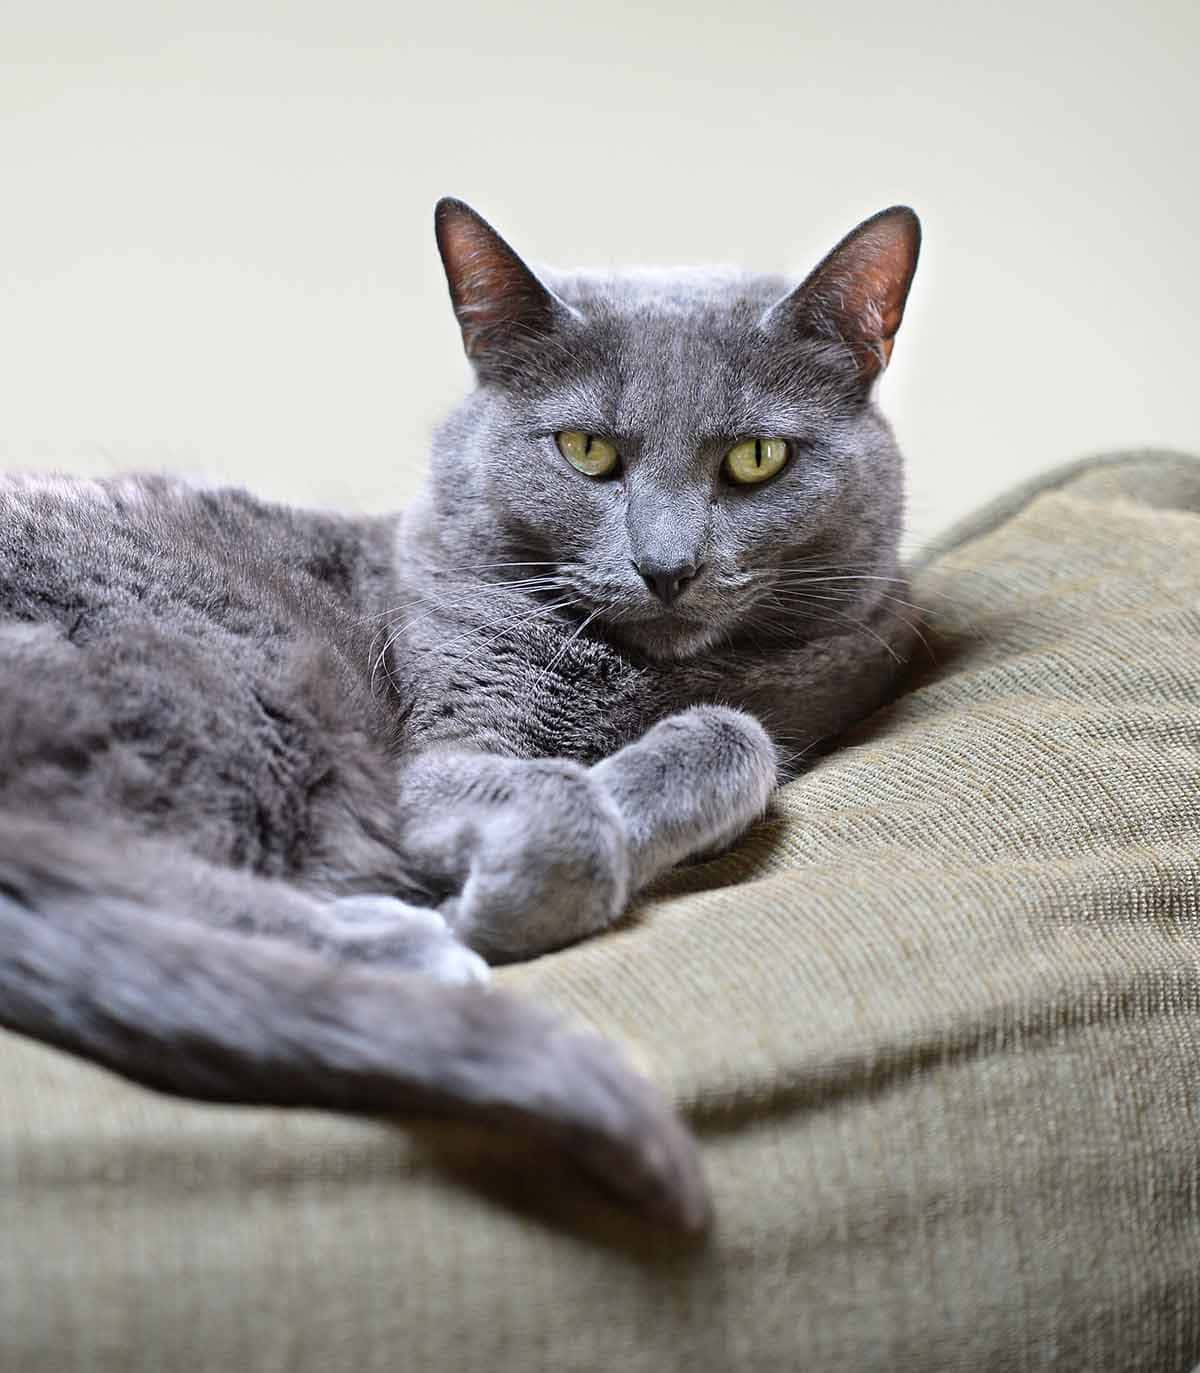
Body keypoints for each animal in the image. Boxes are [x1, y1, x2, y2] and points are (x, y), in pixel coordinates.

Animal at [0, 200, 917, 1235]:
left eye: (757, 459)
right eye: (587, 451)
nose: (667, 565)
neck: (644, 674)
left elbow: (739, 734)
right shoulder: (431, 759)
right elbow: (559, 798)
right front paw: (510, 893)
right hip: (220, 672)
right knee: (62, 863)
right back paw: (401, 946)